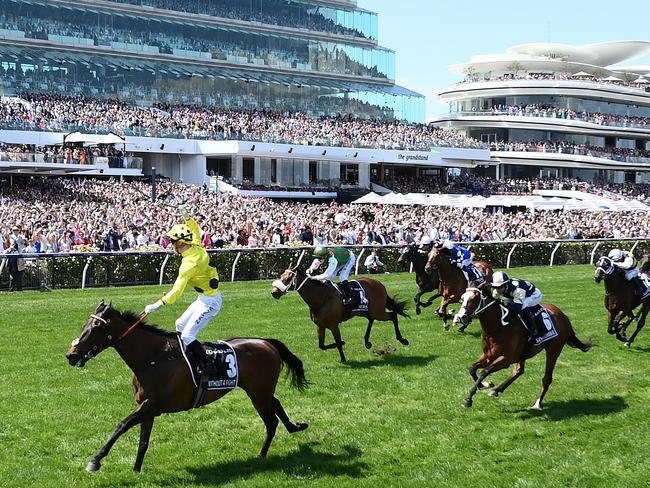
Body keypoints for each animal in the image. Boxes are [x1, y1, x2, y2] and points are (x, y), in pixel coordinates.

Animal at [66, 302, 308, 472]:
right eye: (85, 324)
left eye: (96, 326)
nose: (71, 355)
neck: (153, 358)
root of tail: (265, 342)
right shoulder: (148, 408)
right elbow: (143, 441)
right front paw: (136, 470)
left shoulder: (152, 405)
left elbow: (121, 425)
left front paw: (95, 460)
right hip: (261, 390)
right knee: (276, 405)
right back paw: (295, 426)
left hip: (258, 393)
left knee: (271, 421)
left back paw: (262, 455)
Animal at [270, 266, 408, 362]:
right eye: (281, 275)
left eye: (288, 278)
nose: (274, 292)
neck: (321, 298)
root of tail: (379, 284)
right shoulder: (320, 325)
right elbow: (322, 346)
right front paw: (342, 344)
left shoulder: (333, 325)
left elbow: (337, 342)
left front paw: (343, 357)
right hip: (366, 311)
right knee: (371, 319)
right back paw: (367, 342)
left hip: (377, 311)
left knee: (392, 315)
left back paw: (402, 339)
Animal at [454, 290, 588, 408]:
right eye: (462, 298)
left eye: (474, 299)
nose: (460, 317)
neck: (498, 327)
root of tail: (562, 314)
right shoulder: (489, 355)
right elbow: (472, 368)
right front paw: (484, 385)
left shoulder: (506, 359)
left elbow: (484, 371)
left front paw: (468, 399)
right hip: (522, 353)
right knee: (519, 370)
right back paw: (497, 390)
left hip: (554, 349)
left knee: (547, 378)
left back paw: (537, 404)